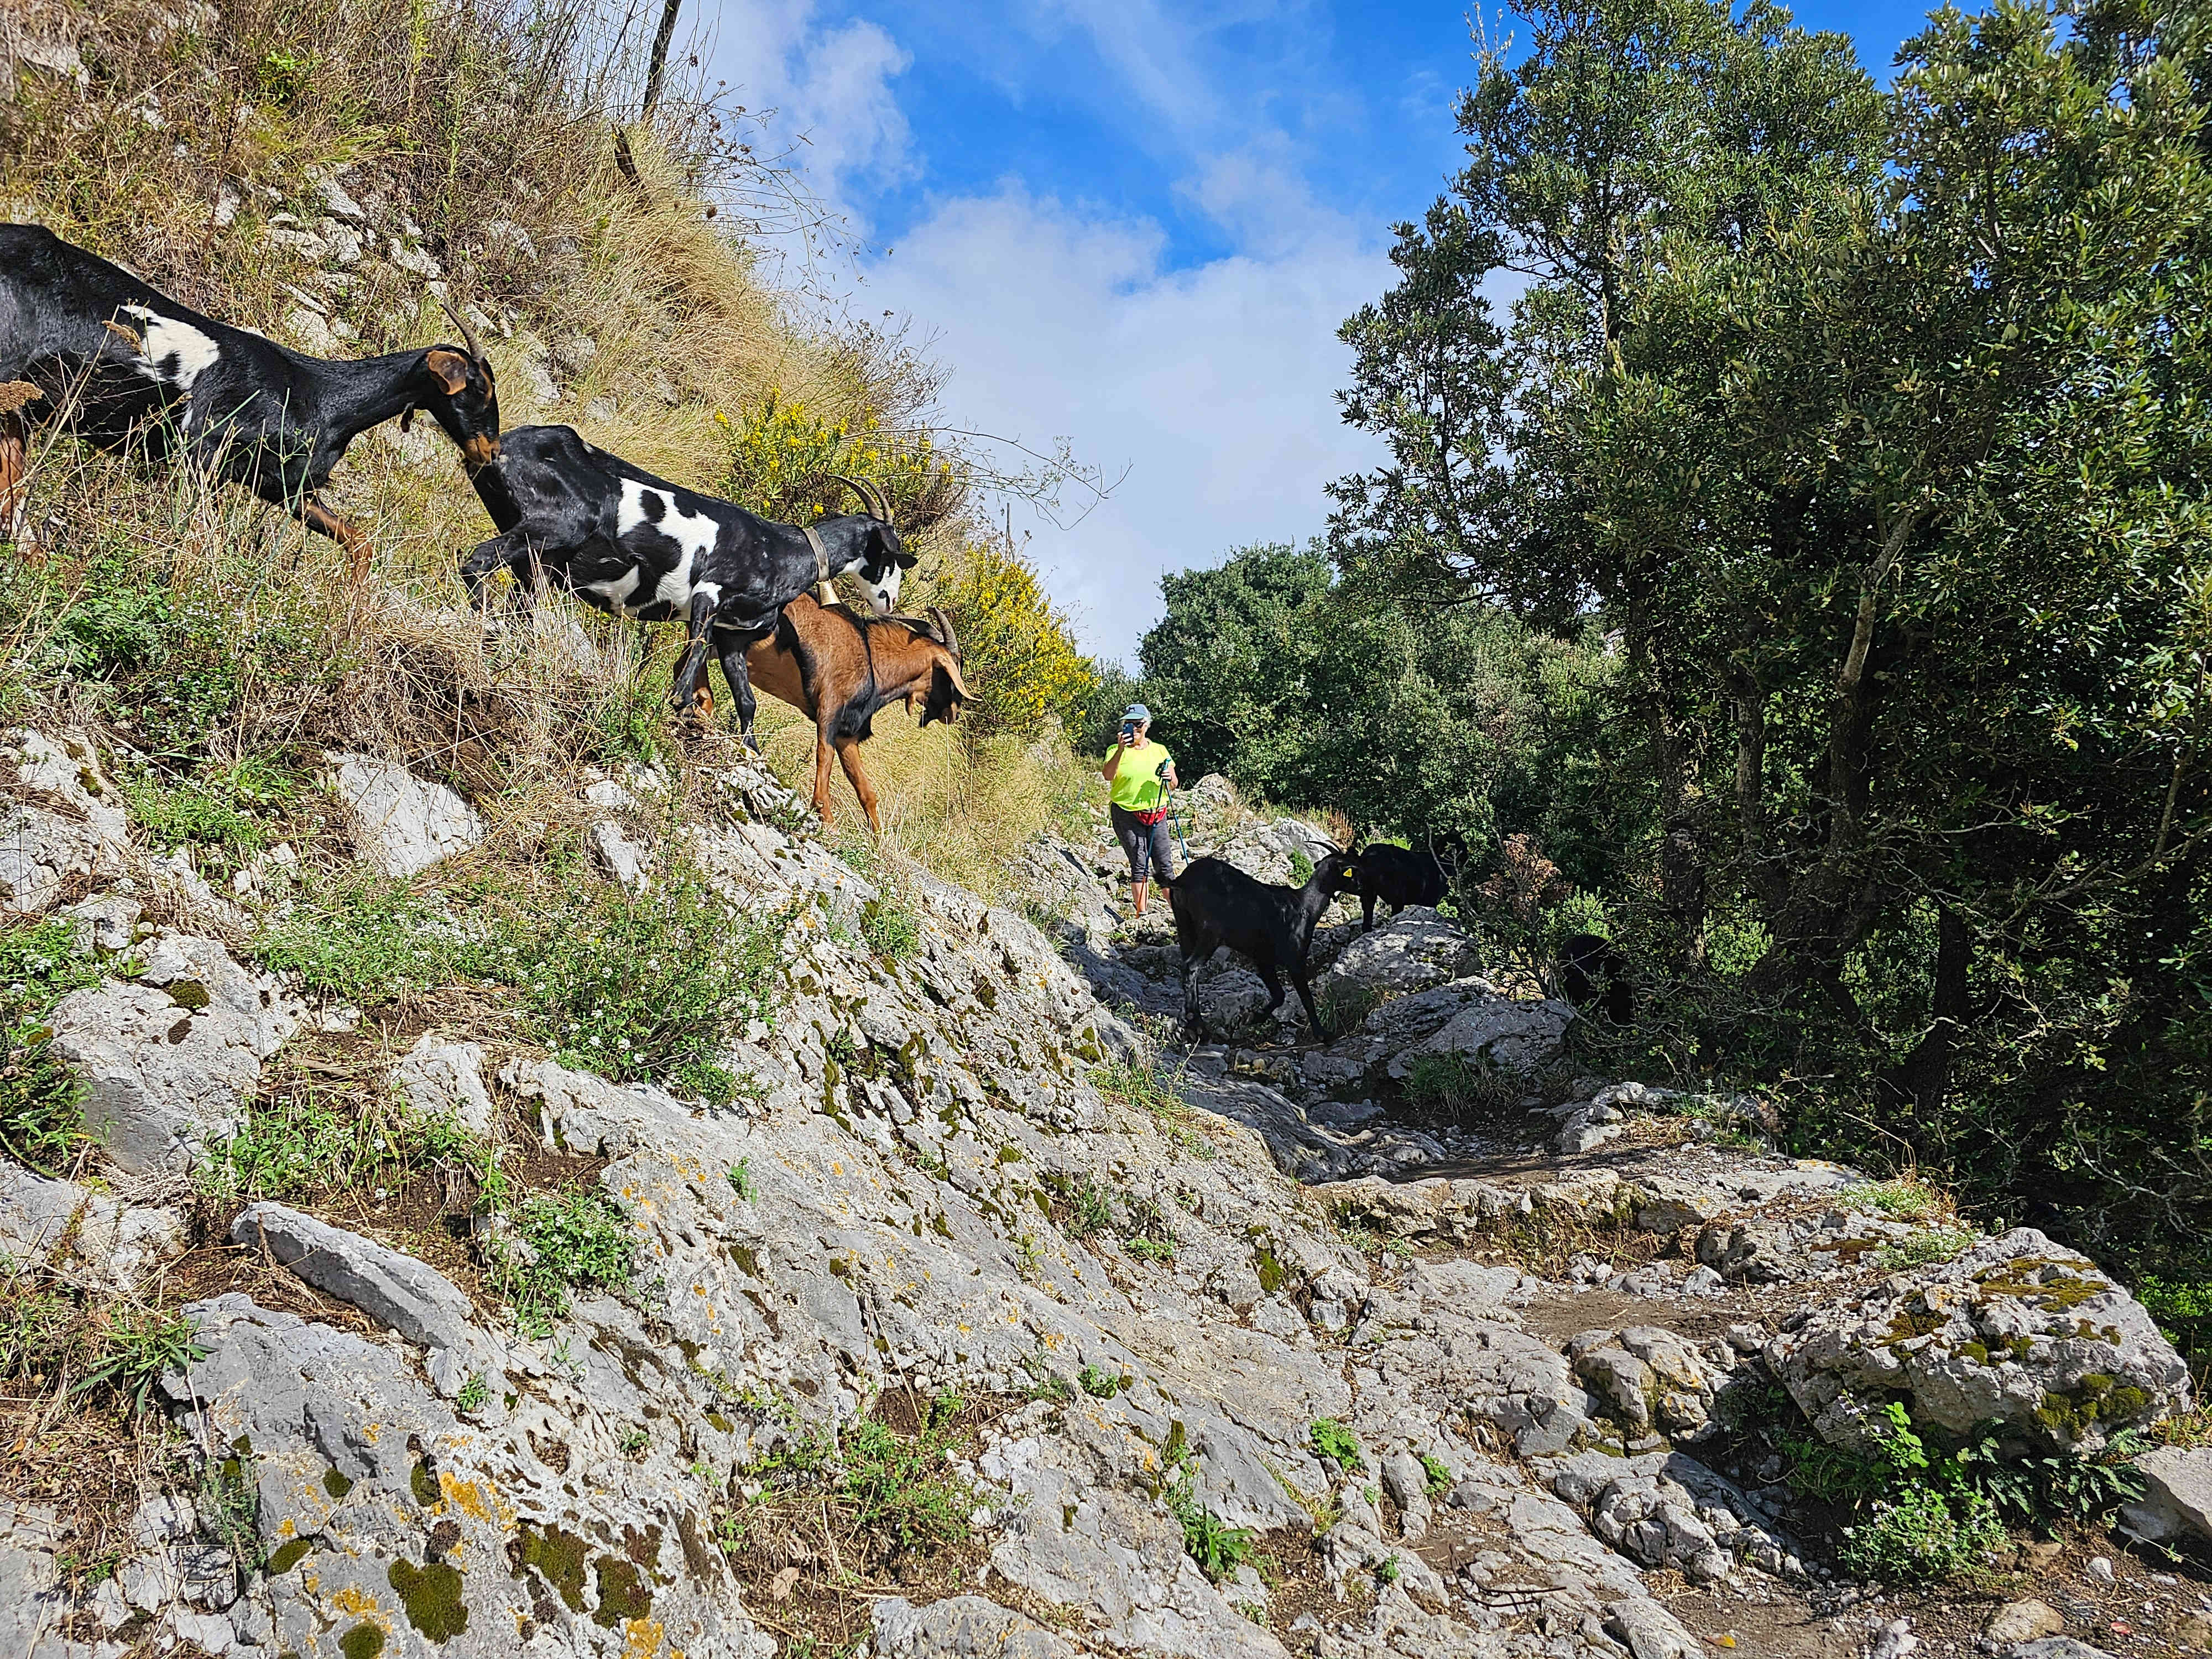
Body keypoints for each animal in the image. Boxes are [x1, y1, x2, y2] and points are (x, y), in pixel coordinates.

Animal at [0, 222, 502, 571]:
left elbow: (358, 541)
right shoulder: (200, 452)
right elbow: (197, 540)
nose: (492, 451)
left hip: (16, 410)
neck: (323, 398)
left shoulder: (285, 486)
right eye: (479, 388)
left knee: (12, 497)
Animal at [458, 425, 916, 743]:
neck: (782, 550)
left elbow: (747, 700)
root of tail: (504, 444)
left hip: (539, 561)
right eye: (894, 558)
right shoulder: (708, 597)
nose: (890, 602)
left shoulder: (734, 637)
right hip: (553, 527)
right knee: (476, 561)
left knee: (519, 602)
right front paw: (677, 706)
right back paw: (480, 634)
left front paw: (749, 749)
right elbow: (694, 658)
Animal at [695, 593, 964, 832]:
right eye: (950, 671)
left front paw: (876, 840)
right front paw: (826, 817)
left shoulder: (847, 735)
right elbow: (824, 758)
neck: (871, 661)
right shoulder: (829, 711)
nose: (954, 712)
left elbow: (865, 789)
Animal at [1159, 858, 1363, 1040]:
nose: (1362, 885)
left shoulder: (1263, 959)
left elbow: (1279, 995)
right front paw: (1322, 1034)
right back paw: (1198, 1027)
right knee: (1191, 967)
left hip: (1185, 926)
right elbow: (1306, 997)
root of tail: (1182, 881)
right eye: (1352, 871)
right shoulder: (1295, 959)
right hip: (1210, 932)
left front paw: (1255, 1017)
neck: (1305, 904)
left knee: (1189, 971)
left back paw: (1192, 1024)